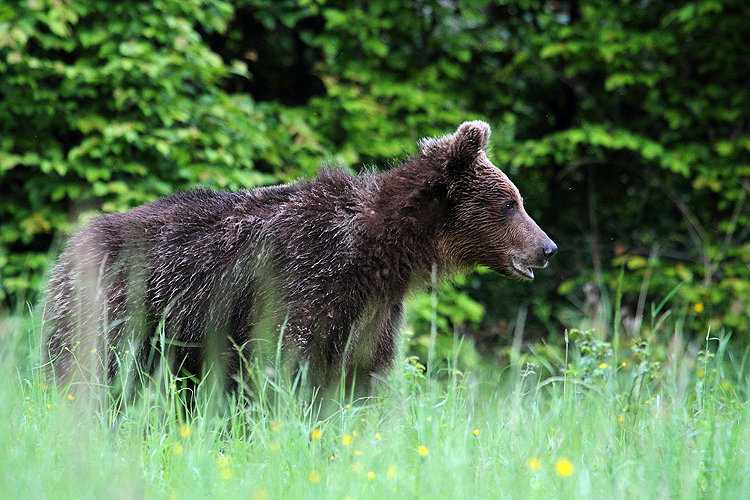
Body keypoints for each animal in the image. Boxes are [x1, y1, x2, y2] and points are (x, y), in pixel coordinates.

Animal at [42, 121, 560, 402]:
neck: (380, 255)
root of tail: (71, 246)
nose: (548, 247)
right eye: (510, 203)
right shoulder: (304, 279)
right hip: (118, 306)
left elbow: (358, 375)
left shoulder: (371, 311)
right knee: (94, 370)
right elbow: (285, 363)